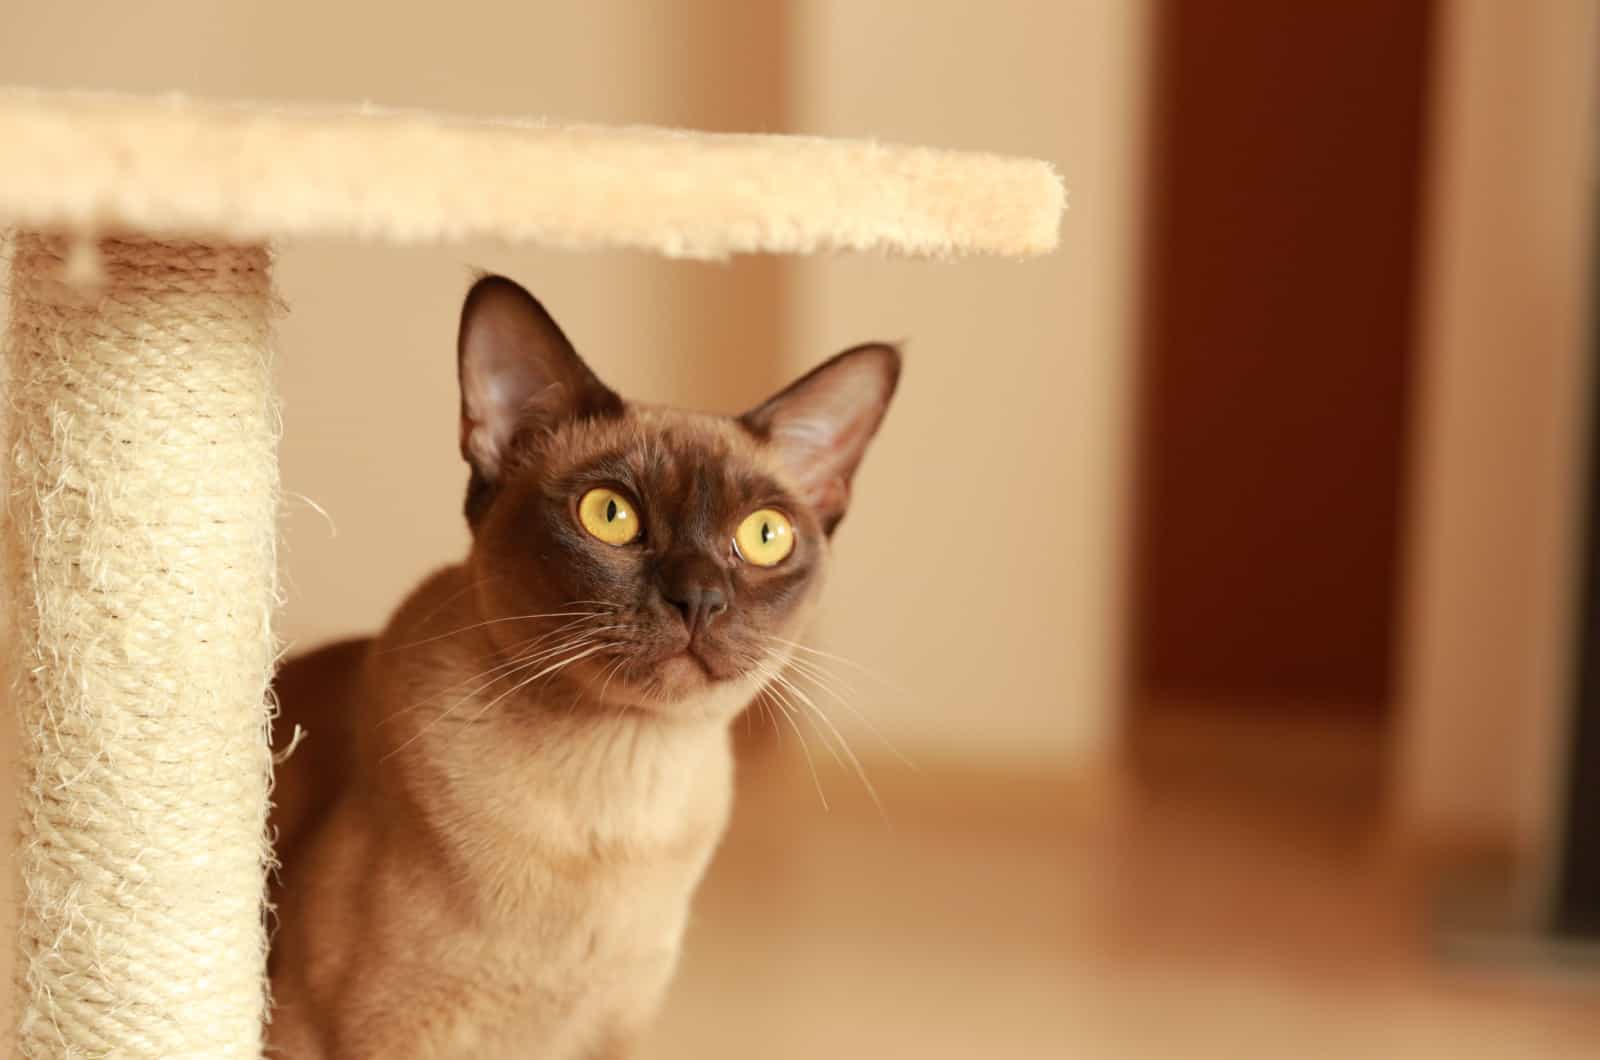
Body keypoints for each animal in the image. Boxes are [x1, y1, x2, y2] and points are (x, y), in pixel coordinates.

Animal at [265, 275, 902, 1060]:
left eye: (763, 536)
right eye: (610, 515)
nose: (700, 598)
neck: (617, 804)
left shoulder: (610, 1036)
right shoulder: (355, 1039)